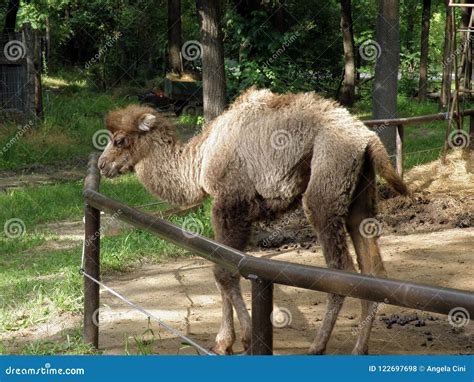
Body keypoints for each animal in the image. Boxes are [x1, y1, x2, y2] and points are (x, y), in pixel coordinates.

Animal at [98, 88, 410, 356]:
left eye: (120, 140)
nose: (102, 165)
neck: (199, 161)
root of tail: (367, 139)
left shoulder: (232, 203)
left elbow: (224, 271)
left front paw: (242, 340)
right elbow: (221, 266)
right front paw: (224, 341)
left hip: (326, 187)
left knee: (341, 267)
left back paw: (317, 346)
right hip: (360, 197)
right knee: (373, 270)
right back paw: (359, 348)